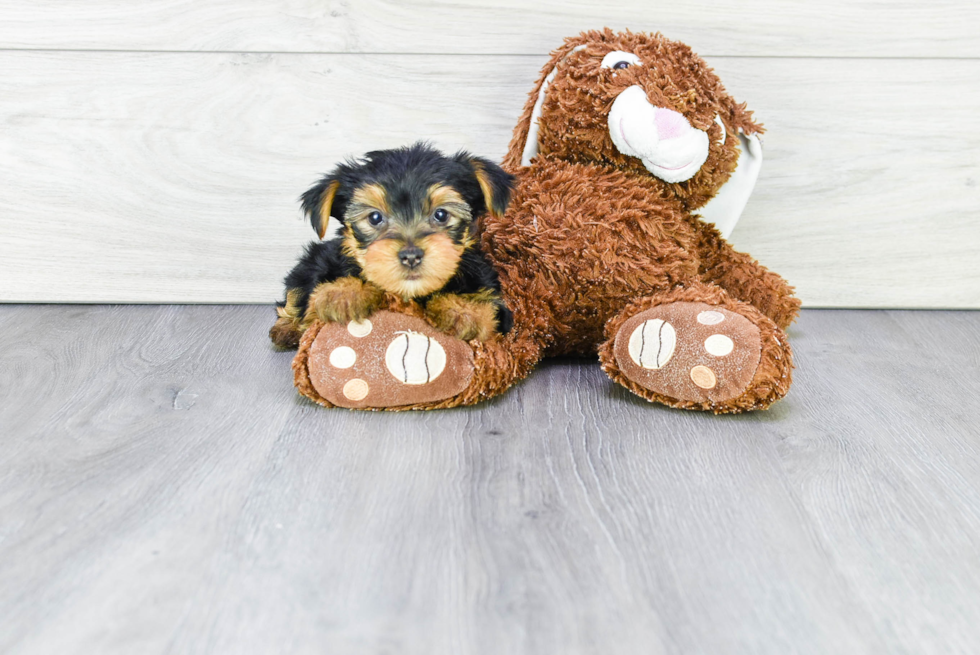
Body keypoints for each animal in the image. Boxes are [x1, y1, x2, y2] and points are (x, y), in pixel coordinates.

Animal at [268, 142, 512, 352]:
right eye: (375, 218)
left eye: (441, 215)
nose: (411, 256)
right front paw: (343, 292)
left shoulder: (496, 299)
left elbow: (488, 307)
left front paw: (463, 310)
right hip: (311, 261)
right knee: (294, 294)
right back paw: (286, 328)